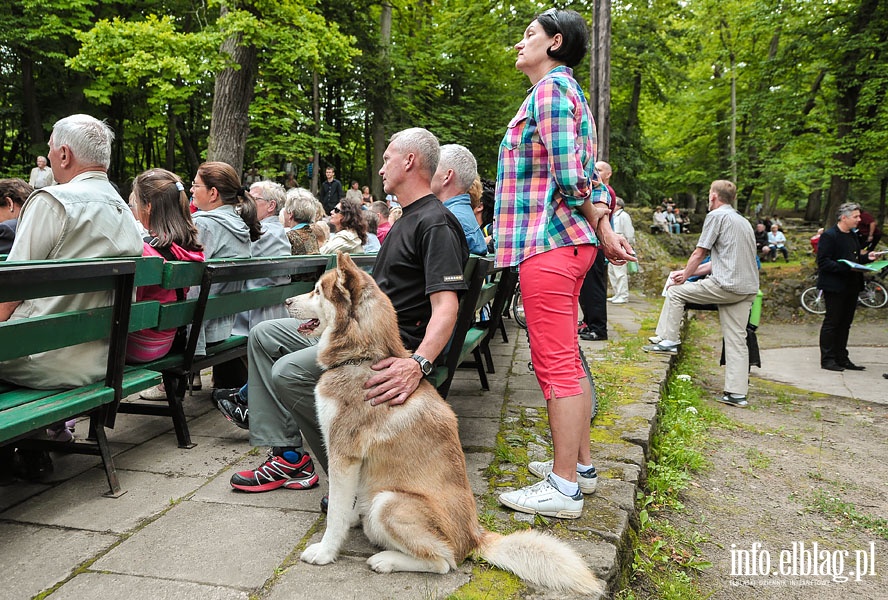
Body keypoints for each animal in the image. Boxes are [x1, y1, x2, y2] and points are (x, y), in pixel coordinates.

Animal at [292, 254, 604, 596]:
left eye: (318, 291)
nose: (287, 301)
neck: (362, 358)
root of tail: (475, 537)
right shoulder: (351, 462)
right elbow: (343, 505)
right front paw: (349, 519)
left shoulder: (343, 454)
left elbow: (334, 515)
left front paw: (325, 552)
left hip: (388, 502)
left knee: (444, 562)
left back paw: (386, 560)